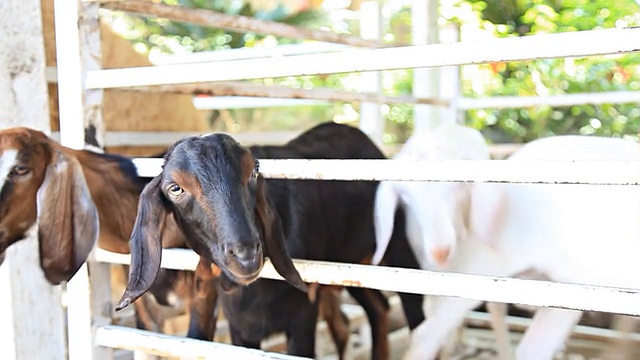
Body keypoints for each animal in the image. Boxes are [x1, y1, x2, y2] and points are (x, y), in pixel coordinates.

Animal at [116, 122, 424, 358]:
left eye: (253, 172)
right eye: (175, 188)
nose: (245, 254)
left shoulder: (303, 315)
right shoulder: (240, 326)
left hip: (397, 245)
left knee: (414, 308)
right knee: (379, 308)